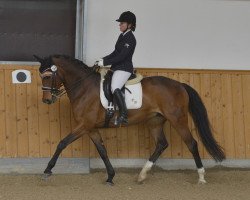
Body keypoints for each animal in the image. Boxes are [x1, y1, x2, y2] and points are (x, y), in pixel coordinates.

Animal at [33, 54, 227, 184]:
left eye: (48, 76)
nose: (47, 100)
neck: (84, 87)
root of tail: (180, 85)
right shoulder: (91, 128)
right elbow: (102, 151)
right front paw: (110, 176)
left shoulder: (84, 125)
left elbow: (62, 143)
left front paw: (47, 170)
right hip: (155, 121)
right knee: (161, 144)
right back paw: (142, 175)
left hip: (178, 120)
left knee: (192, 143)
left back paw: (201, 177)